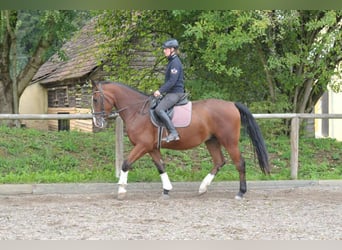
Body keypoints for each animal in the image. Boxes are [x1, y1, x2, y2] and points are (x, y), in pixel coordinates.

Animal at [91, 81, 270, 200]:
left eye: (95, 100)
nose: (97, 123)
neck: (137, 111)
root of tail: (231, 104)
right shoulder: (152, 148)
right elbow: (161, 166)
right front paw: (166, 190)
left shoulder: (143, 146)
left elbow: (126, 163)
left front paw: (121, 190)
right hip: (212, 141)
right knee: (219, 161)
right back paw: (202, 188)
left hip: (229, 141)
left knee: (240, 163)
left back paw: (240, 192)